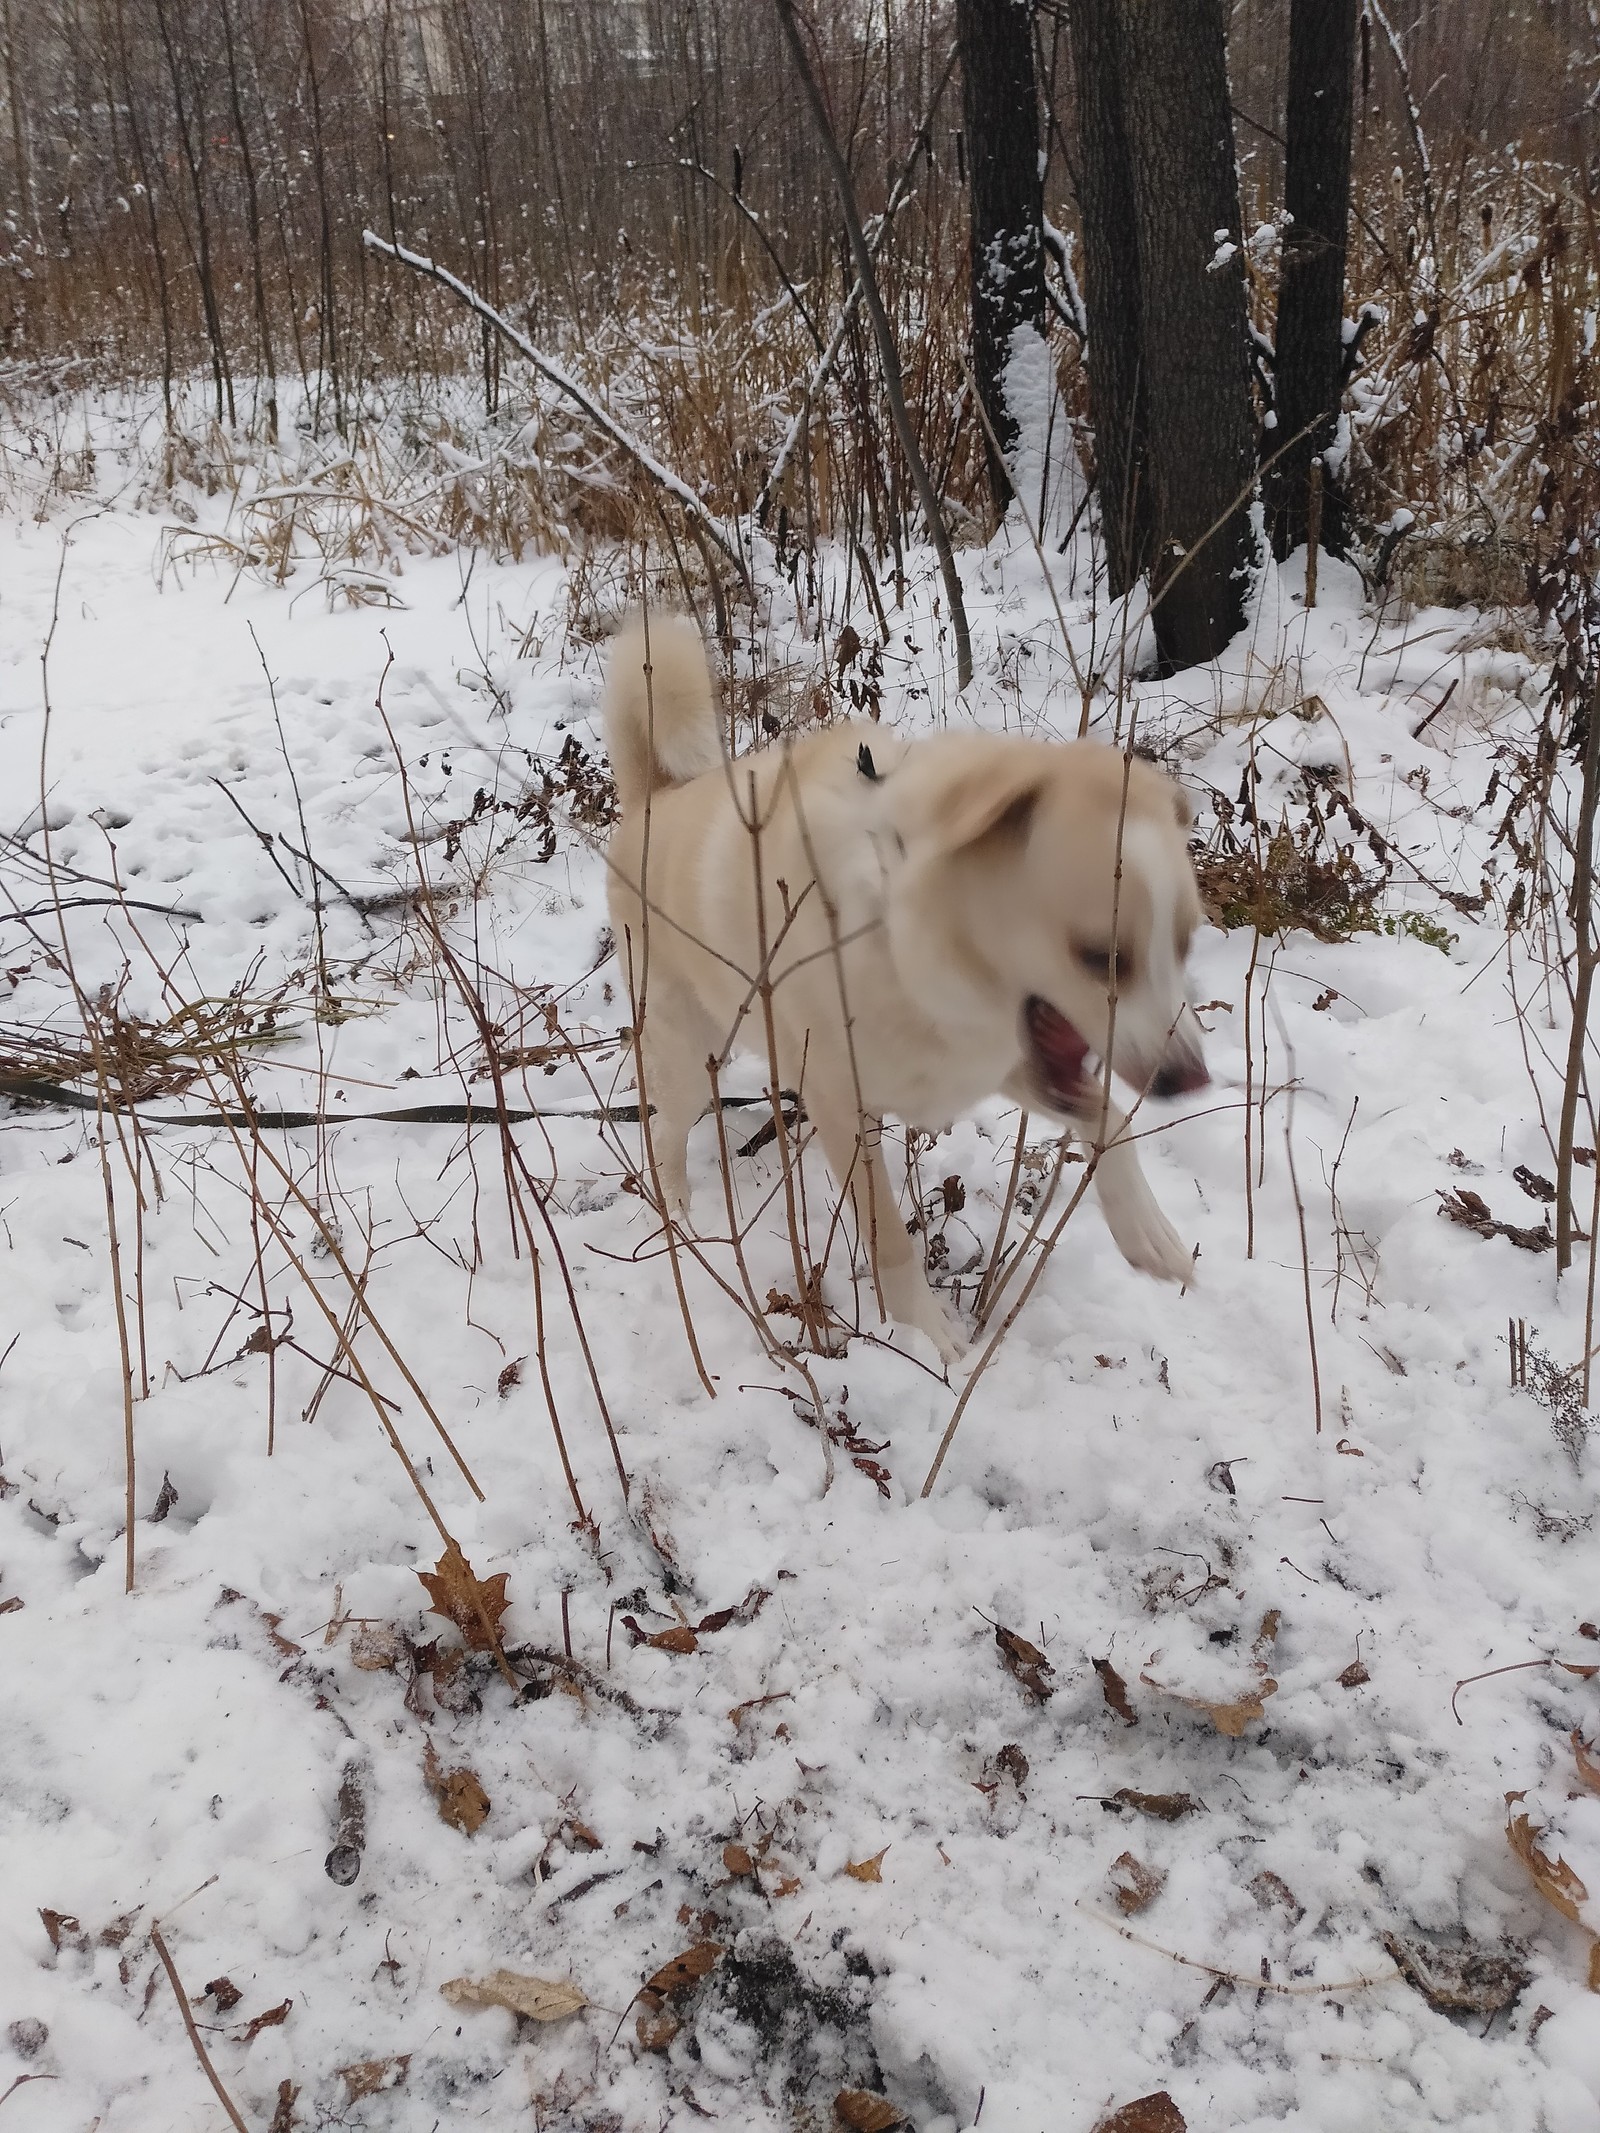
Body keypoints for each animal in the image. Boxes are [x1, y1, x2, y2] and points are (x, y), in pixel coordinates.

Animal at [601, 610, 1203, 1356]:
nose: (1188, 1079)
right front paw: (928, 1339)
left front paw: (1149, 1233)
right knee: (663, 1133)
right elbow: (888, 1238)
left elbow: (1109, 1116)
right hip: (691, 1054)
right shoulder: (843, 1106)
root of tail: (651, 801)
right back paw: (679, 1210)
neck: (900, 935)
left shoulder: (983, 1064)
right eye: (1099, 955)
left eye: (1185, 941)